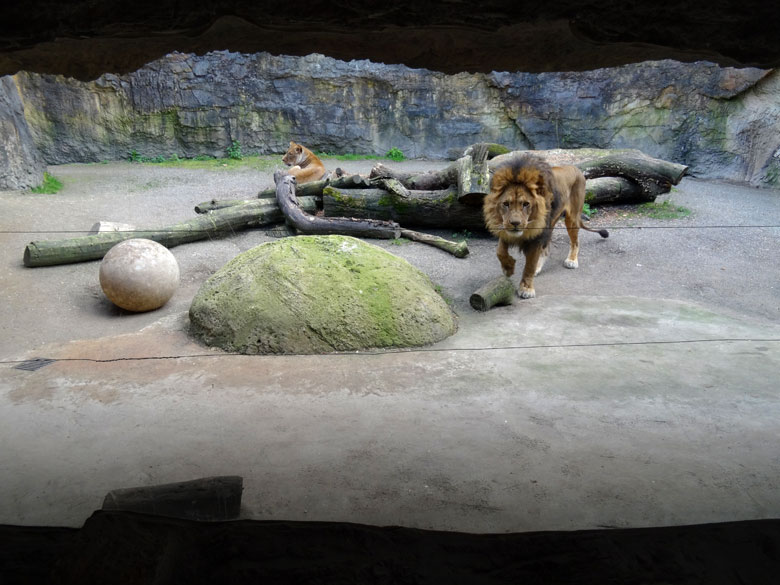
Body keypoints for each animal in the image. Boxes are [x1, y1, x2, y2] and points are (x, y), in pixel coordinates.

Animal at [482, 154, 608, 296]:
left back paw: (571, 261)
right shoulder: (506, 228)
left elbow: (529, 266)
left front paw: (526, 288)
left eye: (526, 204)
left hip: (572, 218)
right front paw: (508, 268)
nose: (515, 223)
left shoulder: (537, 235)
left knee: (575, 242)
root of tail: (577, 169)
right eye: (506, 204)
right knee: (546, 248)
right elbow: (500, 251)